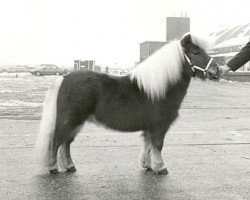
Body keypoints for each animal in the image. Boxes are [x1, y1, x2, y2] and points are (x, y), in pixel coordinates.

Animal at [35, 32, 221, 173]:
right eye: (196, 53)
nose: (218, 70)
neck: (161, 88)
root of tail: (64, 78)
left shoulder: (150, 127)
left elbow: (148, 144)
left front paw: (147, 165)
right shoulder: (159, 126)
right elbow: (158, 145)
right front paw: (161, 167)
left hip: (75, 123)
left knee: (66, 143)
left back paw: (69, 166)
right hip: (70, 120)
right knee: (57, 140)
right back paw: (53, 168)